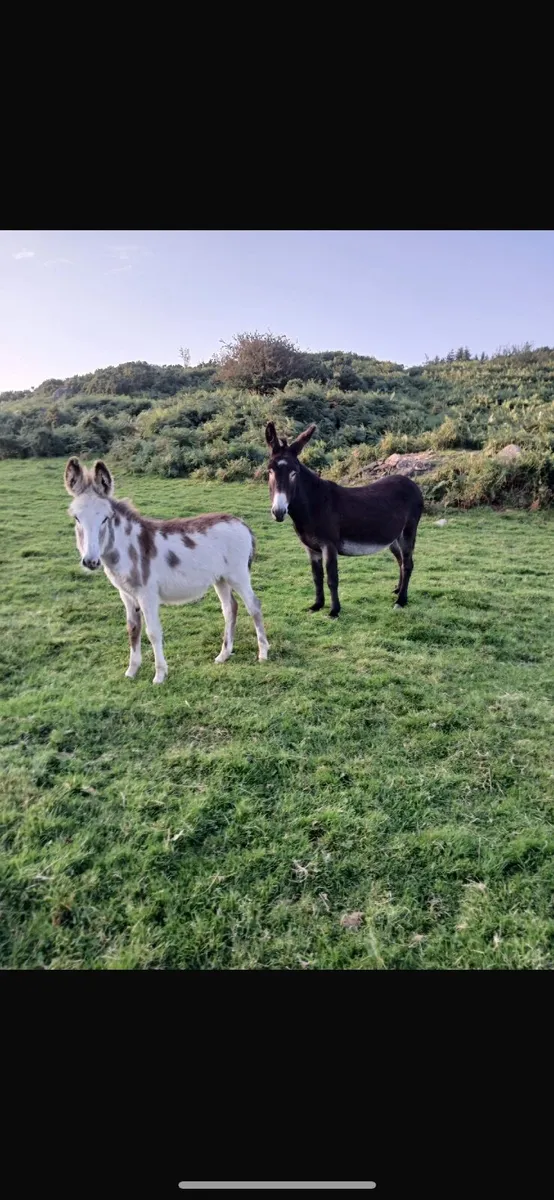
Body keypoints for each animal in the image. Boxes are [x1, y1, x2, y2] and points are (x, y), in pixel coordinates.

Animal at [64, 457, 269, 683]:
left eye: (105, 518)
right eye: (76, 518)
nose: (90, 561)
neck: (127, 547)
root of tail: (240, 522)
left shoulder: (147, 595)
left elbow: (153, 632)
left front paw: (160, 675)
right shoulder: (126, 594)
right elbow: (132, 629)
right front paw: (131, 671)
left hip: (238, 575)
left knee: (254, 606)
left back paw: (262, 653)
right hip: (220, 578)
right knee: (230, 609)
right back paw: (223, 655)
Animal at [265, 422, 424, 617]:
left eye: (294, 473)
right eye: (270, 471)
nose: (278, 512)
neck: (314, 504)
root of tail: (411, 482)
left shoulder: (329, 545)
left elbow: (332, 579)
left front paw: (334, 611)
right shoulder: (311, 548)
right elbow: (316, 578)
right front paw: (317, 605)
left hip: (408, 531)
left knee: (408, 564)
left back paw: (401, 601)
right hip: (392, 538)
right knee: (400, 561)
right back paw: (398, 590)